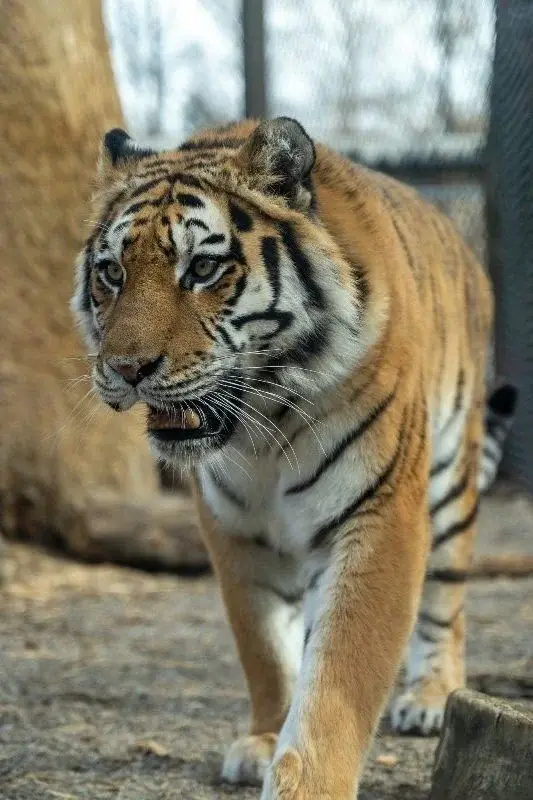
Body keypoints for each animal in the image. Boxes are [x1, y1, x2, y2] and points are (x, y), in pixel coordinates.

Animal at [72, 118, 516, 798]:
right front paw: (264, 738)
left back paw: (429, 697)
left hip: (450, 478)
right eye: (113, 273)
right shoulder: (234, 530)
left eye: (203, 268)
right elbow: (263, 648)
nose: (126, 369)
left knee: (447, 598)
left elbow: (340, 676)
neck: (263, 431)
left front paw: (310, 783)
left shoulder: (378, 515)